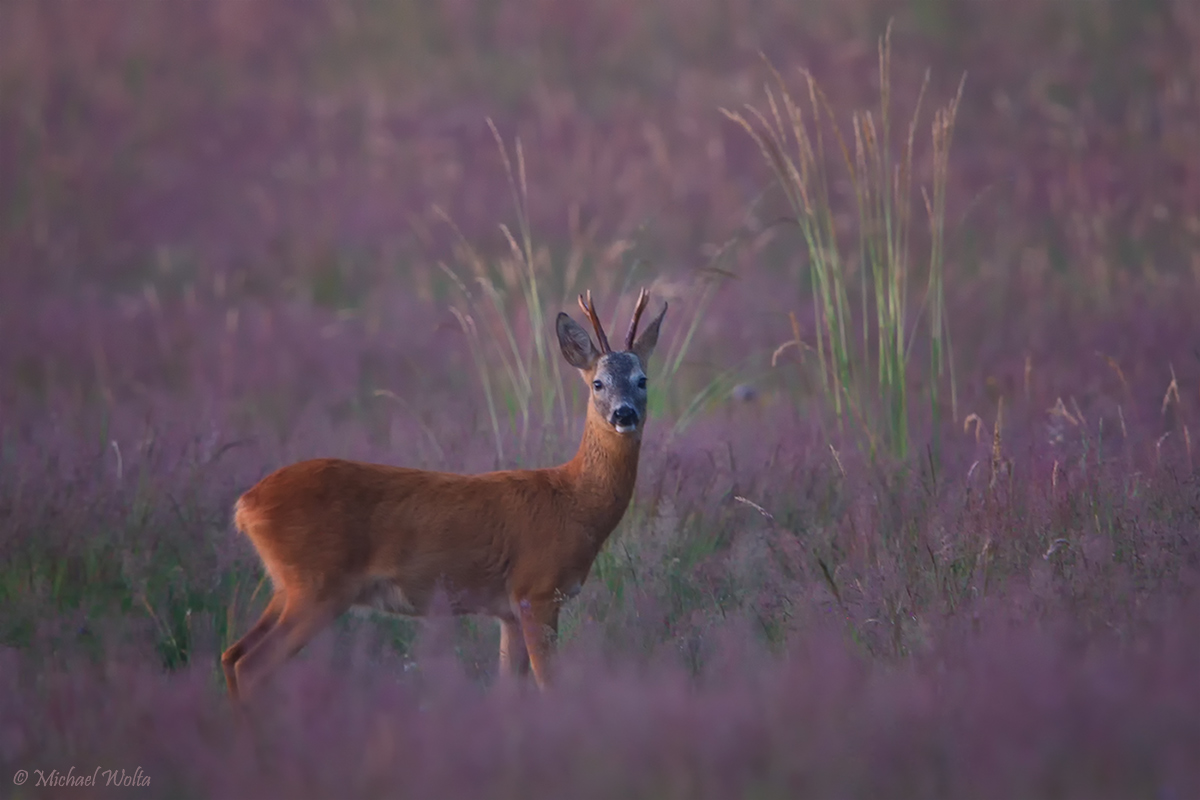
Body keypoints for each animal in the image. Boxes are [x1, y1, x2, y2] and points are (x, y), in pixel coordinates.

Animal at [223, 289, 667, 700]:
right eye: (598, 383)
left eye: (642, 380)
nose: (624, 413)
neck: (574, 502)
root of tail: (246, 505)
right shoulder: (537, 590)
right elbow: (549, 685)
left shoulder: (508, 610)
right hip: (316, 585)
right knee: (251, 664)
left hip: (287, 586)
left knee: (231, 654)